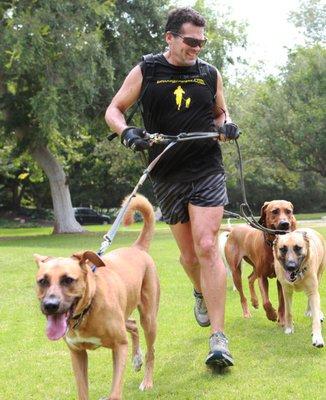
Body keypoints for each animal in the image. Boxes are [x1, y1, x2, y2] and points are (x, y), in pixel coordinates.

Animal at [35, 195, 160, 400]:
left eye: (68, 280)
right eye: (42, 281)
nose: (50, 305)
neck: (87, 311)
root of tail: (137, 248)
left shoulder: (119, 346)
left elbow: (115, 392)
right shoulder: (77, 353)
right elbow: (82, 391)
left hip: (149, 318)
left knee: (150, 349)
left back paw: (147, 381)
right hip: (124, 315)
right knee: (133, 324)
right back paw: (136, 359)